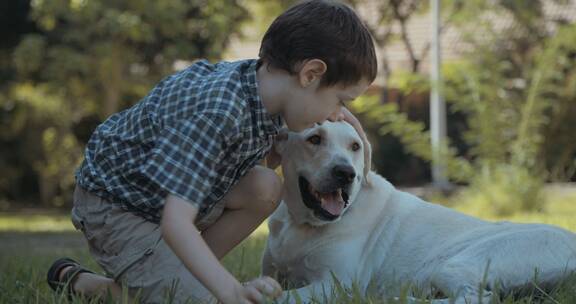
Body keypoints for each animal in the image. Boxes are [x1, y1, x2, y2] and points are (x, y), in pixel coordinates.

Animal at [262, 121, 576, 304]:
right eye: (314, 139)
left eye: (355, 147)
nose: (346, 173)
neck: (301, 224)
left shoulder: (334, 284)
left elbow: (282, 298)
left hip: (452, 264)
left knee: (475, 298)